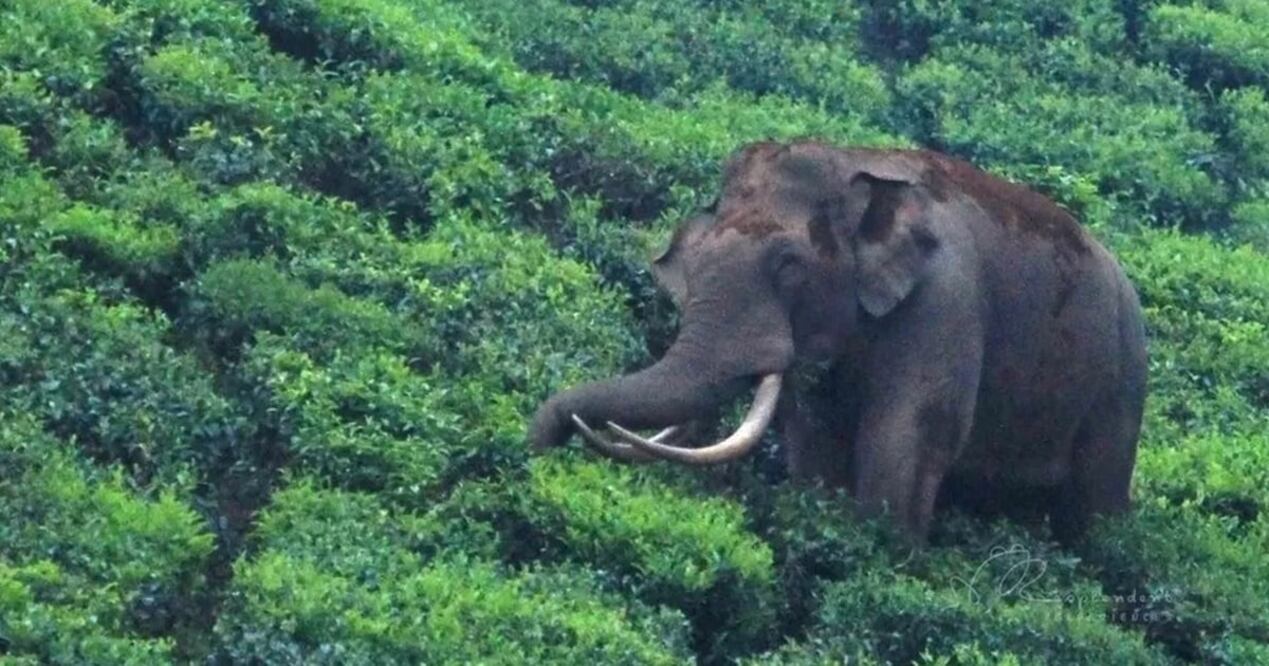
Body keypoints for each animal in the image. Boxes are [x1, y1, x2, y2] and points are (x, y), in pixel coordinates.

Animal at [530, 140, 1147, 543]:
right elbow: (815, 439)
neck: (856, 166)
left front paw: (886, 563)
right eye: (693, 263)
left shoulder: (946, 300)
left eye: (788, 266)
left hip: (1123, 382)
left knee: (1095, 507)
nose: (538, 447)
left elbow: (911, 434)